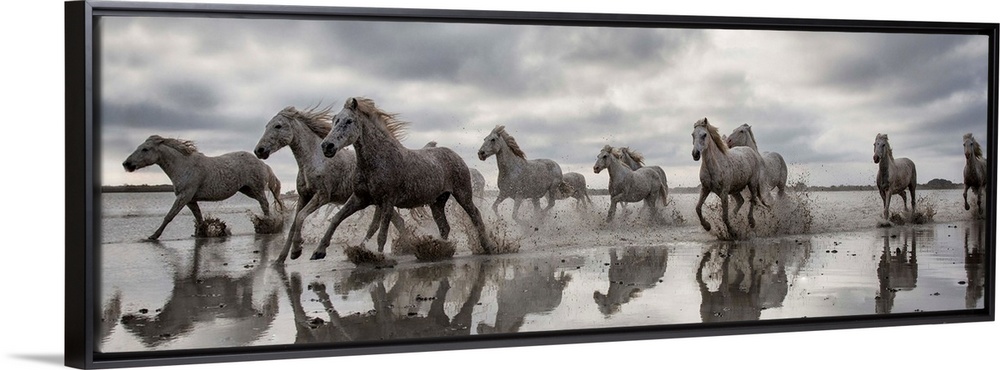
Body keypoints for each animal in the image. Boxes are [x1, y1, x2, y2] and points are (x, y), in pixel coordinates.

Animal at [124, 136, 286, 240]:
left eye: (145, 149)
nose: (126, 164)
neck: (184, 166)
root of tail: (262, 163)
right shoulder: (190, 200)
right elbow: (199, 217)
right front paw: (204, 232)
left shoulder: (184, 196)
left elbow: (169, 216)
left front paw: (153, 236)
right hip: (247, 190)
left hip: (256, 188)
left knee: (264, 204)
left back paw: (267, 225)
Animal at [312, 98, 496, 260]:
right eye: (335, 120)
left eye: (349, 121)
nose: (327, 146)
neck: (377, 160)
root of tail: (456, 156)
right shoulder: (360, 198)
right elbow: (337, 219)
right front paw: (318, 252)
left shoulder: (387, 201)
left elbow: (382, 232)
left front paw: (378, 256)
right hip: (437, 202)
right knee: (444, 227)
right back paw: (439, 249)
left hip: (462, 194)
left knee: (475, 215)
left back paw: (487, 247)